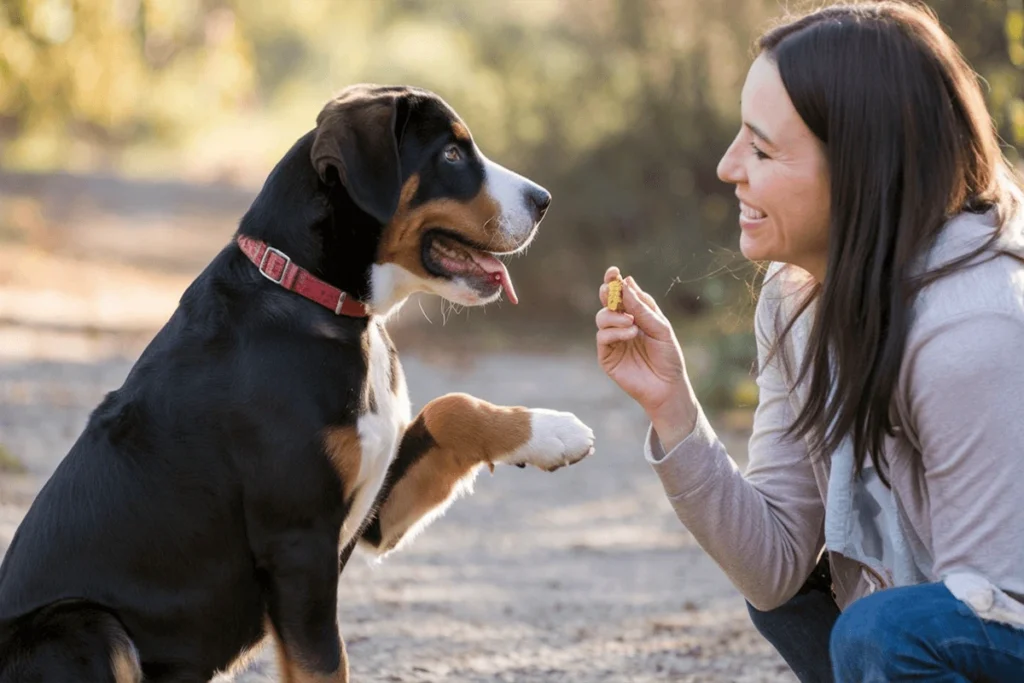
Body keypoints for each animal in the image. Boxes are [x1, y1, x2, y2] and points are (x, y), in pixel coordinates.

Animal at [0, 85, 593, 683]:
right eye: (450, 154)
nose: (543, 200)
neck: (318, 301)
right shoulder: (299, 542)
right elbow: (325, 664)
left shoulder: (374, 510)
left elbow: (449, 406)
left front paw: (552, 433)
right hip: (86, 625)